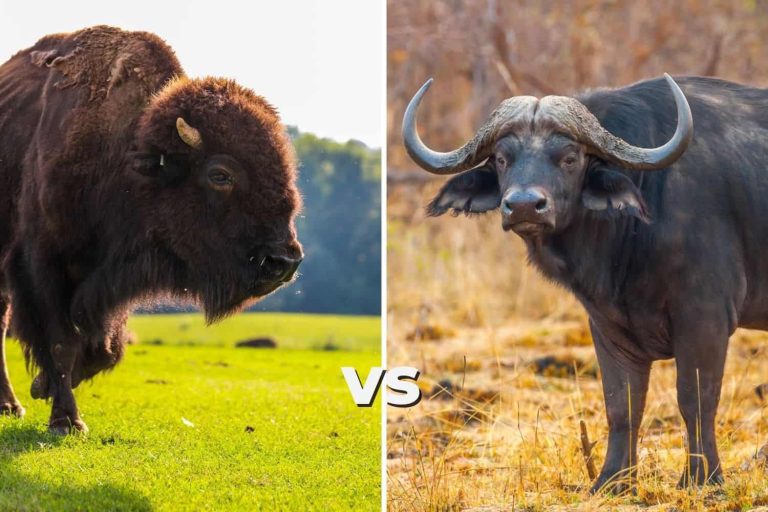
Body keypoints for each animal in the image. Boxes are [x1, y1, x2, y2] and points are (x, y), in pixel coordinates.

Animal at [0, 26, 303, 434]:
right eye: (220, 175)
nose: (284, 261)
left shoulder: (106, 281)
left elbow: (105, 349)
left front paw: (43, 386)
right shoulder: (41, 264)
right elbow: (62, 343)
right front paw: (66, 420)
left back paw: (11, 404)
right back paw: (12, 404)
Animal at [403, 74, 768, 491]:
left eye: (569, 158)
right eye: (501, 158)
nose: (524, 206)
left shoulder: (705, 318)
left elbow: (696, 399)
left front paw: (702, 479)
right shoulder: (608, 325)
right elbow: (622, 404)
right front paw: (613, 480)